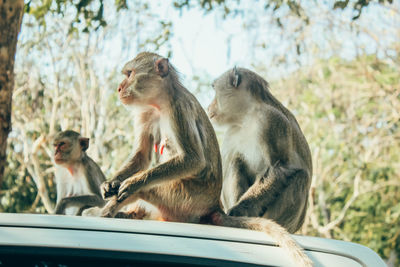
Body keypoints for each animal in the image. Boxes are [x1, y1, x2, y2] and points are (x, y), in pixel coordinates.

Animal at [208, 67, 314, 234]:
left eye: (214, 90)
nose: (209, 106)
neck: (247, 116)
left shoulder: (271, 120)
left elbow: (277, 168)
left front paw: (238, 210)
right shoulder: (232, 131)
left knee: (301, 177)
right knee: (235, 161)